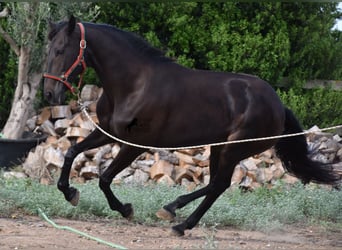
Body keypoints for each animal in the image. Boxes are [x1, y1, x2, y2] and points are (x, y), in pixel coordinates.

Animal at [43, 16, 340, 236]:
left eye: (60, 50)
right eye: (49, 50)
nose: (48, 94)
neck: (134, 84)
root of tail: (278, 104)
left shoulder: (135, 145)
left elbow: (104, 178)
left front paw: (126, 209)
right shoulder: (109, 133)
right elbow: (71, 152)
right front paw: (70, 192)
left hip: (234, 149)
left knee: (219, 184)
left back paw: (176, 218)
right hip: (219, 148)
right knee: (216, 185)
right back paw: (176, 216)